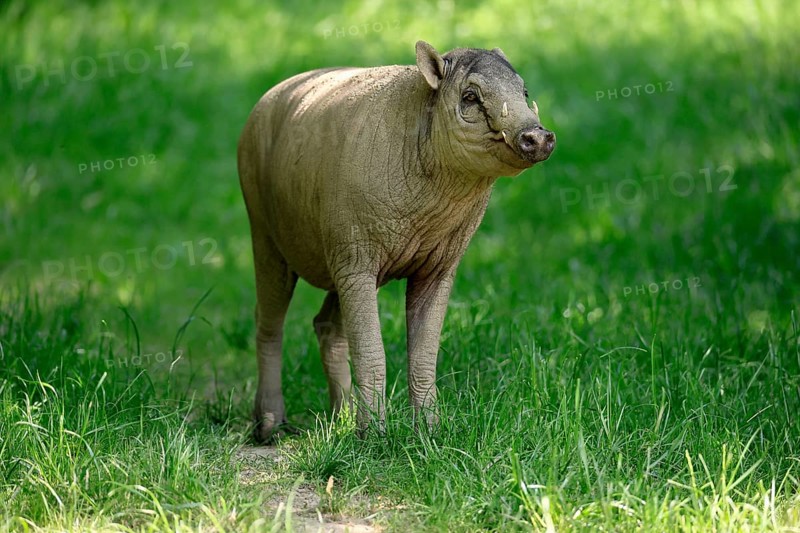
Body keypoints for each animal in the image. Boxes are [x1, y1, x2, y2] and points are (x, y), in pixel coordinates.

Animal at [238, 41, 555, 442]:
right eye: (470, 96)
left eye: (524, 92)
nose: (538, 137)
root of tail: (266, 99)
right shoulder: (356, 260)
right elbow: (372, 351)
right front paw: (374, 436)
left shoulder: (434, 268)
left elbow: (423, 353)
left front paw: (430, 432)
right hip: (266, 235)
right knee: (268, 323)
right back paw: (269, 424)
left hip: (337, 258)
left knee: (327, 325)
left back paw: (342, 418)